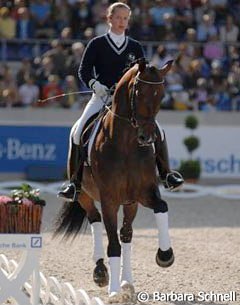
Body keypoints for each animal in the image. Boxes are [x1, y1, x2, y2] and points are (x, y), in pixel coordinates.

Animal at [55, 58, 174, 300]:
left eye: (162, 95)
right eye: (138, 92)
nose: (147, 137)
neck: (127, 143)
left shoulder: (143, 193)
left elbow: (161, 207)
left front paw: (165, 255)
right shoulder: (109, 199)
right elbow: (112, 244)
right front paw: (113, 292)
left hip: (130, 203)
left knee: (126, 234)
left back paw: (127, 281)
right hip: (85, 195)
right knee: (95, 220)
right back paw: (101, 272)